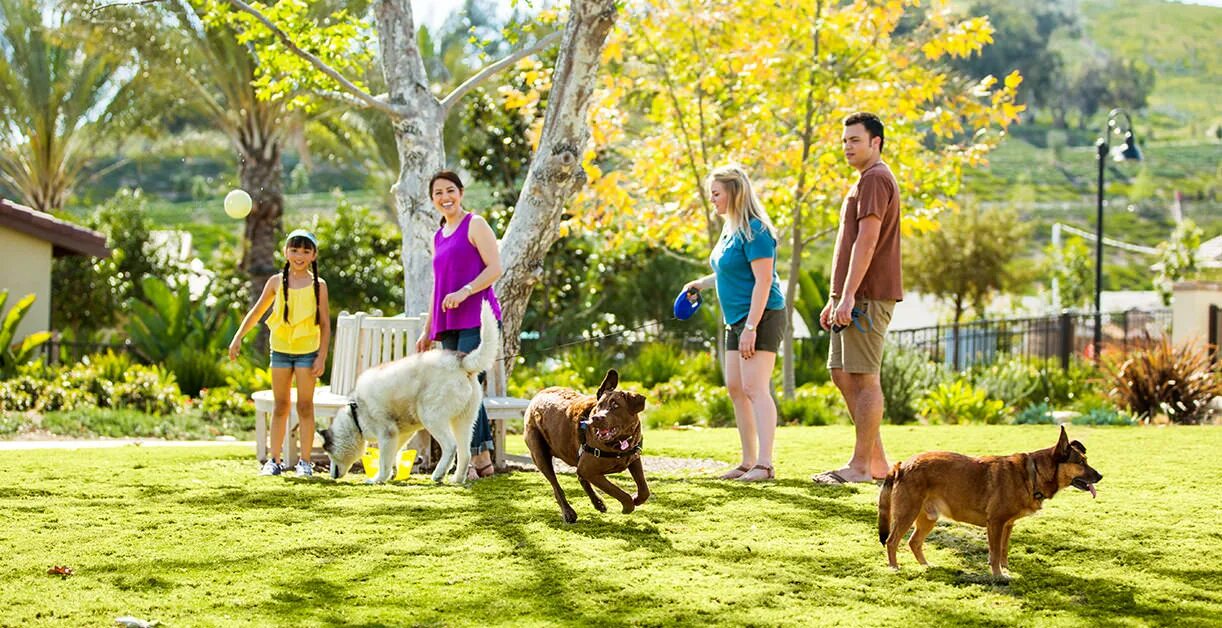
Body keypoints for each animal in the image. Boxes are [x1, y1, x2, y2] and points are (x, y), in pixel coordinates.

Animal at [322, 300, 503, 481]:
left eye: (329, 454)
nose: (331, 475)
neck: (356, 413)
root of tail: (461, 361)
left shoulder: (387, 433)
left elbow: (384, 462)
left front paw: (378, 479)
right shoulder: (400, 435)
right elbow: (392, 456)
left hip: (431, 416)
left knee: (451, 446)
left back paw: (438, 474)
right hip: (463, 421)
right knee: (465, 453)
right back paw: (457, 479)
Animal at [525, 368, 650, 520]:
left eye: (615, 405)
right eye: (599, 406)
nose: (596, 418)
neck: (619, 443)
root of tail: (538, 394)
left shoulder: (634, 458)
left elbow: (644, 489)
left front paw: (637, 498)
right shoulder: (588, 470)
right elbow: (617, 491)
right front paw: (628, 506)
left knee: (579, 477)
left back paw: (597, 503)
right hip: (539, 454)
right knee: (556, 486)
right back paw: (568, 512)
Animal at [879, 425, 1099, 576]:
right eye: (1081, 462)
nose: (1101, 476)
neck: (1033, 473)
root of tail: (901, 466)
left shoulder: (1007, 526)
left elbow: (1003, 551)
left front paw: (1006, 570)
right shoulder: (995, 523)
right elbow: (994, 554)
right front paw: (998, 575)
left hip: (928, 518)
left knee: (914, 542)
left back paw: (926, 565)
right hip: (907, 514)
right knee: (891, 541)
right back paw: (894, 568)